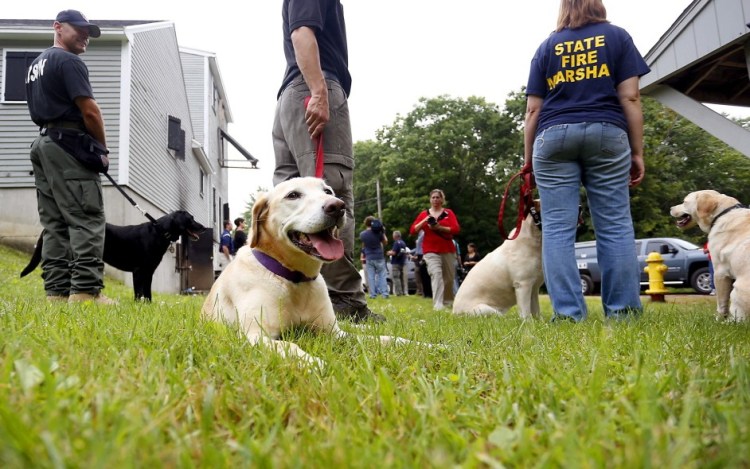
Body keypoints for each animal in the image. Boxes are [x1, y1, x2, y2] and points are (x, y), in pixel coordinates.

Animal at [22, 211, 207, 300]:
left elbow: (147, 293)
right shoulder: (139, 271)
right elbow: (139, 293)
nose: (204, 227)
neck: (160, 231)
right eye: (191, 218)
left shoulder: (148, 272)